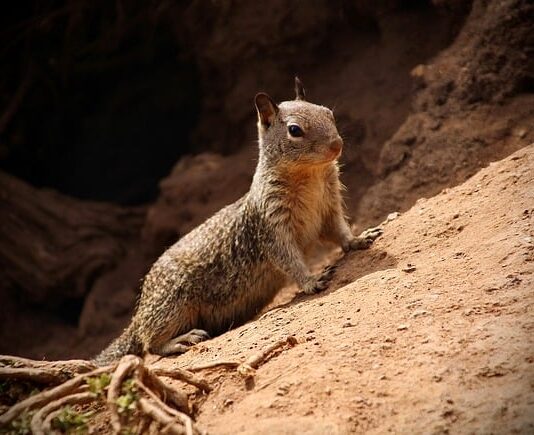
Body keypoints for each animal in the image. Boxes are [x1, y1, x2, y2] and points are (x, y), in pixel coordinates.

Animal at [95, 79, 382, 368]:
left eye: (329, 113)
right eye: (295, 130)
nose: (337, 145)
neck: (310, 177)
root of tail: (139, 312)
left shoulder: (329, 207)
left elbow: (339, 230)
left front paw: (359, 239)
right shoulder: (272, 227)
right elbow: (289, 259)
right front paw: (311, 280)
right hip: (172, 303)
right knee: (149, 343)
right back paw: (180, 340)